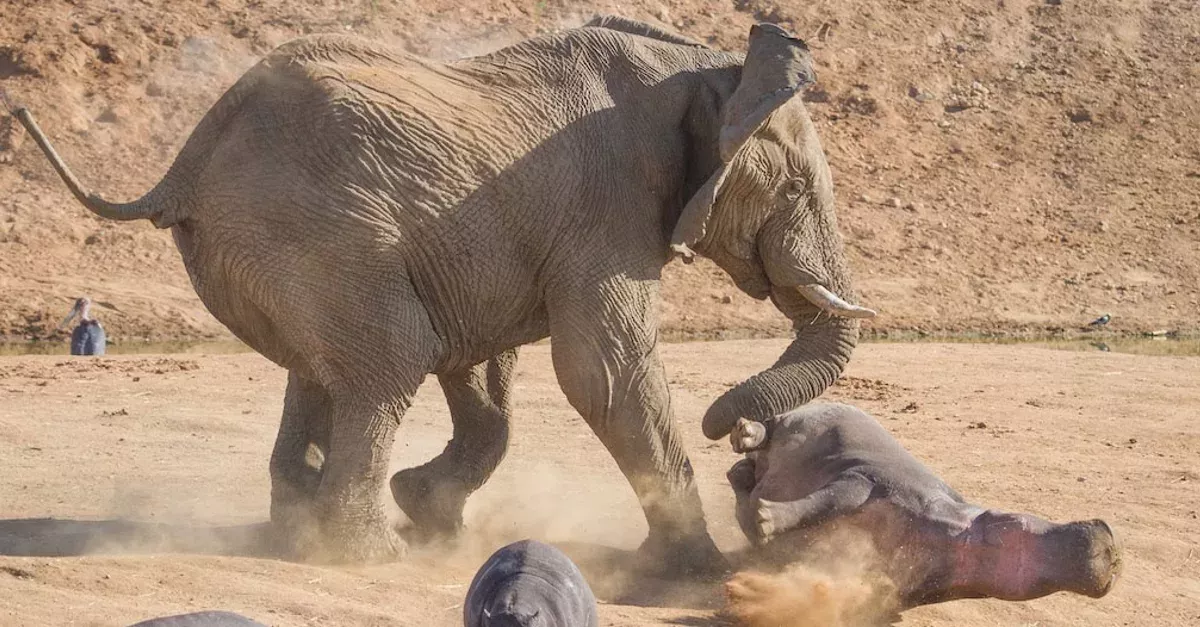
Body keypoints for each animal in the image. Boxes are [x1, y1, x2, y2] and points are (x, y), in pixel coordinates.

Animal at [4, 15, 875, 574]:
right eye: (795, 187)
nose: (738, 433)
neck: (708, 68)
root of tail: (188, 159)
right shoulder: (610, 205)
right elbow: (600, 370)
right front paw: (698, 570)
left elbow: (486, 369)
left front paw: (431, 513)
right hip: (317, 229)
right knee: (389, 361)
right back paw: (365, 555)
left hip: (279, 246)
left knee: (322, 373)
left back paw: (302, 537)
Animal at [726, 402, 1122, 609]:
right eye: (1011, 521)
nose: (1110, 544)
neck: (955, 535)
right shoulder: (868, 479)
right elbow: (826, 501)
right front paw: (765, 519)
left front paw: (759, 522)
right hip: (804, 421)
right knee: (769, 427)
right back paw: (743, 431)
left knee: (742, 473)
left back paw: (744, 473)